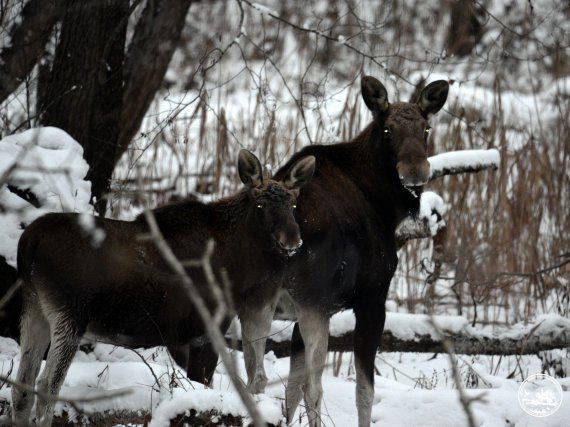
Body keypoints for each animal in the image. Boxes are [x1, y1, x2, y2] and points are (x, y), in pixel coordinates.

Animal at [11, 150, 316, 427]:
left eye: (294, 204)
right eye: (260, 205)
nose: (292, 240)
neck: (241, 266)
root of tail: (28, 244)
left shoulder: (181, 337)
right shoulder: (205, 330)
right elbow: (203, 386)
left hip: (35, 308)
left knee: (22, 384)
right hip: (70, 314)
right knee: (47, 385)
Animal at [268, 77, 446, 427]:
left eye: (426, 128)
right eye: (387, 129)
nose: (415, 170)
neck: (386, 206)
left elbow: (290, 391)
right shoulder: (371, 299)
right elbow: (364, 391)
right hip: (313, 304)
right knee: (314, 388)